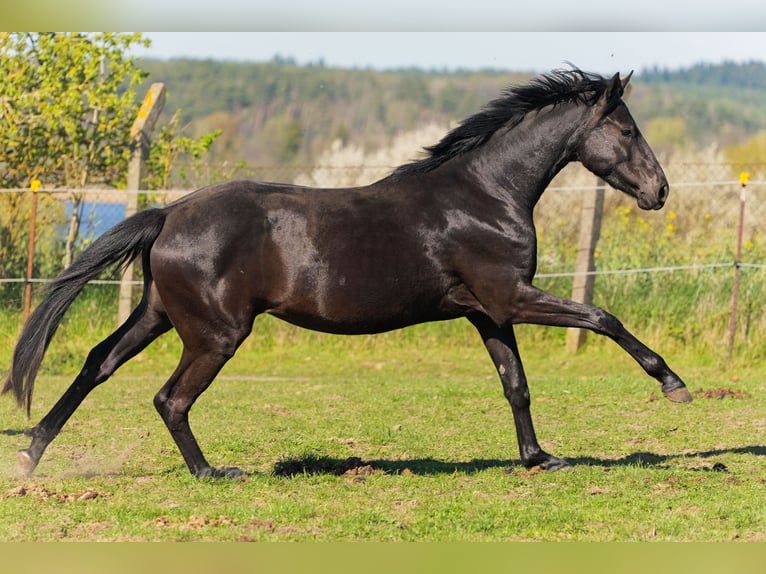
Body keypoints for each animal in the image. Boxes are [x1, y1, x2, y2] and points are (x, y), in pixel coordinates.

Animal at [3, 68, 692, 479]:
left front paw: (539, 458)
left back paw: (31, 454)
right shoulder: (511, 296)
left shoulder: (487, 311)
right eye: (625, 128)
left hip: (158, 315)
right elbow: (601, 317)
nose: (659, 191)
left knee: (98, 362)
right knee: (169, 398)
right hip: (215, 334)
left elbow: (516, 385)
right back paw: (211, 473)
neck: (486, 195)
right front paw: (673, 384)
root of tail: (168, 213)